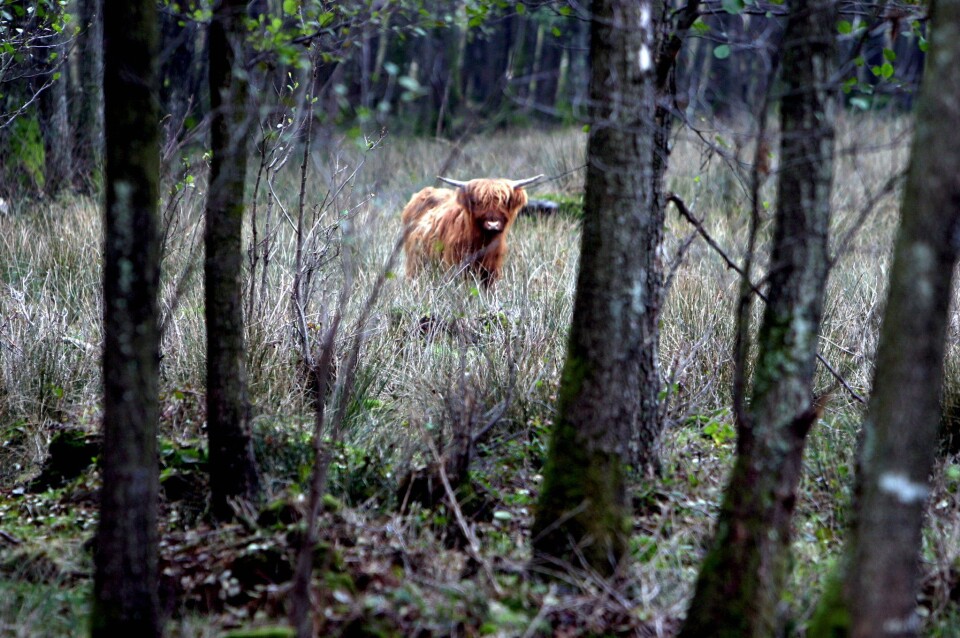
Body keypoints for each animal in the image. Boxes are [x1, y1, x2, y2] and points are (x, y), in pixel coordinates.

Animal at [402, 174, 544, 286]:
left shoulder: (491, 271)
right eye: (478, 202)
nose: (493, 224)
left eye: (504, 201)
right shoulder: (457, 267)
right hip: (416, 264)